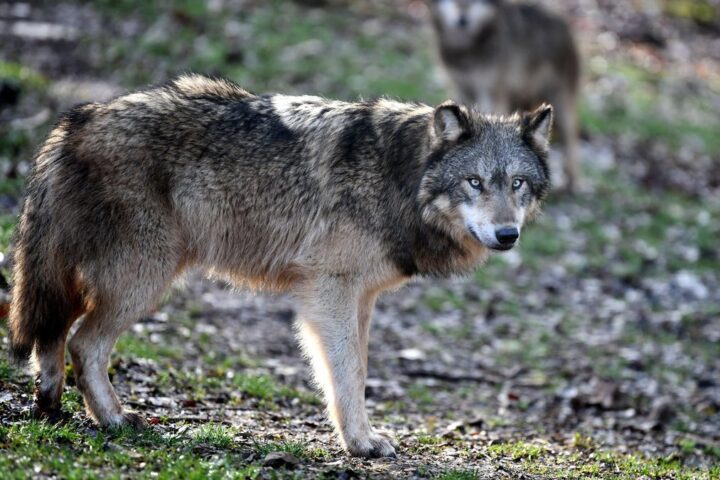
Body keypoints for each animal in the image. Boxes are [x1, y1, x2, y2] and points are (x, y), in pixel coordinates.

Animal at [9, 74, 552, 458]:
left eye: (518, 184)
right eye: (475, 182)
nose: (508, 235)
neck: (398, 177)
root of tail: (76, 120)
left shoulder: (359, 299)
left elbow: (351, 371)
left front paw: (358, 436)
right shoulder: (331, 292)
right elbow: (349, 372)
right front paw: (361, 443)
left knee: (52, 336)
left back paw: (51, 407)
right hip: (143, 279)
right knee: (83, 343)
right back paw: (117, 421)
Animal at [428, 0, 580, 191]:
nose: (463, 20)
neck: (468, 48)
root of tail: (562, 21)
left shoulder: (492, 92)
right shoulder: (460, 88)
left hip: (561, 104)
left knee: (572, 140)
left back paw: (572, 183)